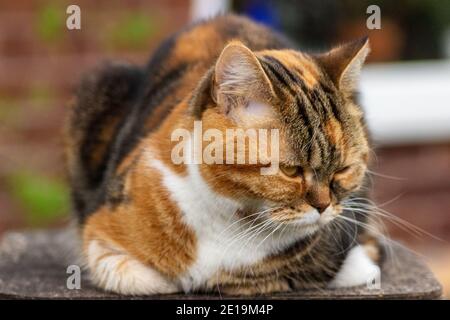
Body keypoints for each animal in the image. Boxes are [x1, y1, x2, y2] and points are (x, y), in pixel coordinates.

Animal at [66, 14, 380, 296]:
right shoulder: (101, 226)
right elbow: (129, 272)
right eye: (290, 170)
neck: (228, 215)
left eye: (342, 169)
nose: (324, 206)